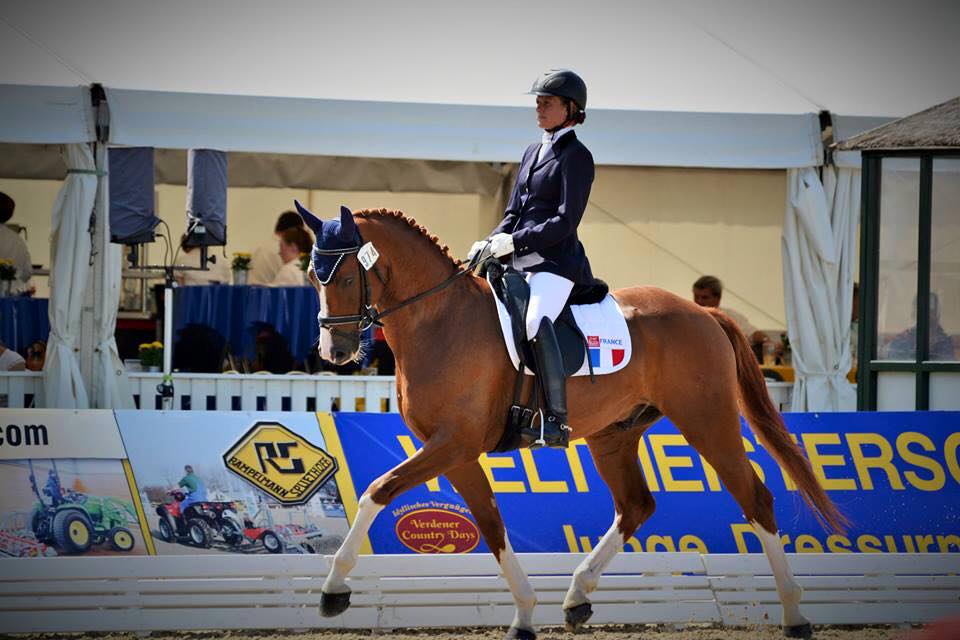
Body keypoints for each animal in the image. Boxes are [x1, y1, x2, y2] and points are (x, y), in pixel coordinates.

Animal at [298, 206, 840, 640]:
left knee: (756, 498)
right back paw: (578, 595)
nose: (334, 352)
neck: (438, 319)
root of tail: (703, 312)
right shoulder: (453, 451)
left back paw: (795, 616)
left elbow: (378, 490)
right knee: (636, 505)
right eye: (312, 278)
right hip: (613, 436)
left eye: (345, 278)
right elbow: (491, 524)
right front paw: (523, 616)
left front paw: (333, 588)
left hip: (707, 420)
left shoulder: (453, 443)